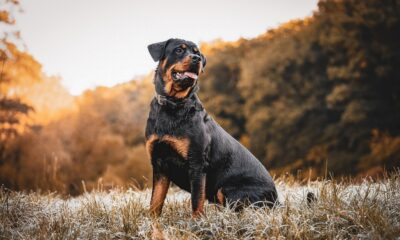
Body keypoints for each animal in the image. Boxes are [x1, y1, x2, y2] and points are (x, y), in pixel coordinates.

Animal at [145, 38, 278, 218]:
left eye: (197, 53)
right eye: (179, 50)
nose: (196, 59)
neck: (173, 104)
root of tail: (277, 200)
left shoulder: (197, 163)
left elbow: (196, 200)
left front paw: (196, 223)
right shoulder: (159, 164)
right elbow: (155, 202)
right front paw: (152, 223)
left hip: (229, 190)